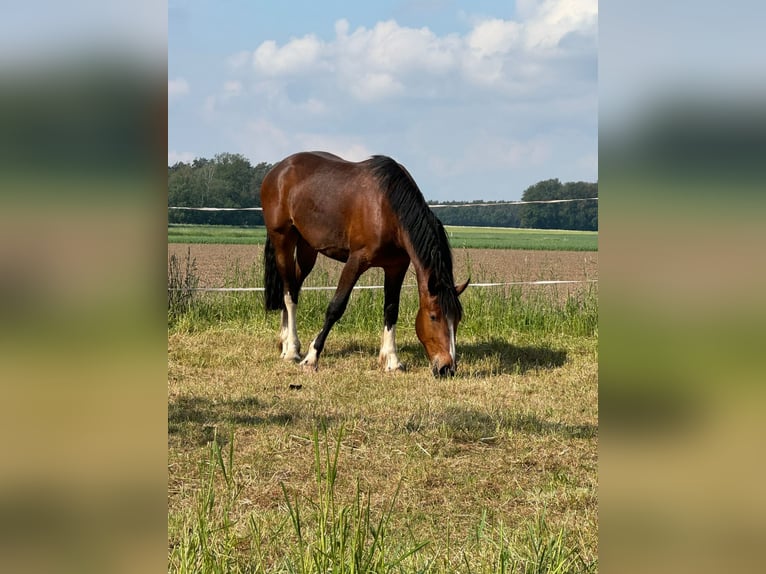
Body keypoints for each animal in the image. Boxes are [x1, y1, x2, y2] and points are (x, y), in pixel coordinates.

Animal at [260, 152, 472, 378]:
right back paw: (292, 350)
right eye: (433, 317)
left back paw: (285, 343)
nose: (447, 368)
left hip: (307, 248)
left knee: (293, 286)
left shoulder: (396, 267)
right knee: (289, 293)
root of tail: (279, 169)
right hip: (283, 240)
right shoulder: (355, 261)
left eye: (457, 319)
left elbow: (391, 310)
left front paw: (392, 361)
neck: (387, 208)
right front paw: (312, 357)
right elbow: (336, 307)